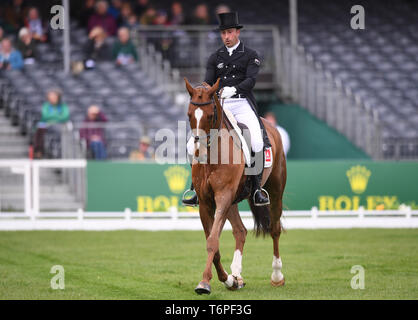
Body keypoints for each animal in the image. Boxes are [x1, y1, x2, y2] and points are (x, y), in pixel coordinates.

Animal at [186, 78, 288, 296]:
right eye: (189, 114)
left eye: (210, 115)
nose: (198, 151)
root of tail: (270, 126)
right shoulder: (206, 202)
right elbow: (213, 242)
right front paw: (226, 279)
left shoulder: (223, 197)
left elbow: (213, 241)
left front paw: (204, 283)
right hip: (233, 200)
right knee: (240, 231)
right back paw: (236, 277)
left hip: (275, 191)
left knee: (275, 229)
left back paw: (277, 276)